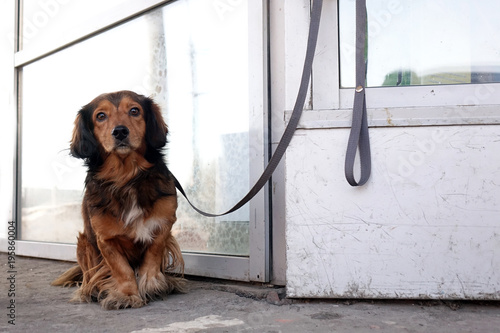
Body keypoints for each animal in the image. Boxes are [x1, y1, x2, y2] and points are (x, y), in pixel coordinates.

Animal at [52, 90, 186, 308]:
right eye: (100, 116)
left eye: (134, 111)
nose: (120, 131)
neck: (126, 177)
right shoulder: (105, 239)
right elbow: (121, 269)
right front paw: (127, 294)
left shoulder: (163, 224)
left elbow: (153, 255)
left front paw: (151, 284)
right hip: (84, 242)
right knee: (89, 275)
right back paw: (91, 290)